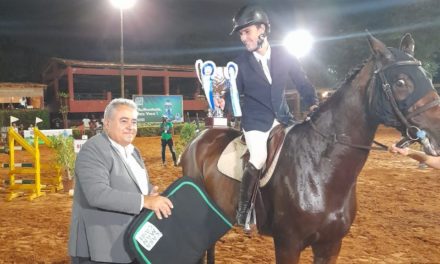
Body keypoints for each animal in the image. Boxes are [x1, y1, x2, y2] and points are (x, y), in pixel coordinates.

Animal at [179, 33, 440, 264]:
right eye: (400, 82)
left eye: (427, 76)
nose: (437, 130)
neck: (321, 169)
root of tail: (199, 137)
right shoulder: (288, 244)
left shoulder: (330, 245)